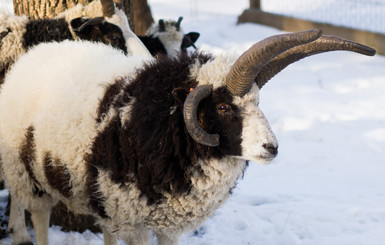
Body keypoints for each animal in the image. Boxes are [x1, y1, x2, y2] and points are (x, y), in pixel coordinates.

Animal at [0, 29, 376, 244]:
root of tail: (35, 54)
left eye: (258, 102)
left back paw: (17, 232)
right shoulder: (135, 220)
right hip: (28, 171)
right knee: (40, 216)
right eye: (223, 107)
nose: (272, 148)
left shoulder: (163, 220)